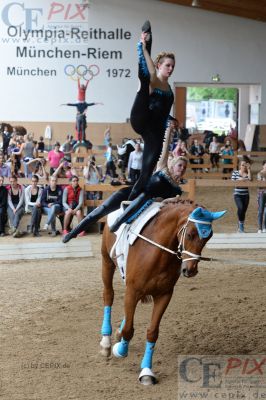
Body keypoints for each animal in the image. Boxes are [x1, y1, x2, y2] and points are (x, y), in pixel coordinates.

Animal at [98, 200, 225, 384]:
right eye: (190, 234)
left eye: (208, 237)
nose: (190, 270)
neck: (157, 252)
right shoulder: (132, 291)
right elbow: (129, 329)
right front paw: (120, 350)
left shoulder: (164, 295)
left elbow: (152, 332)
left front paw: (146, 372)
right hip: (107, 262)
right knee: (109, 296)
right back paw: (106, 343)